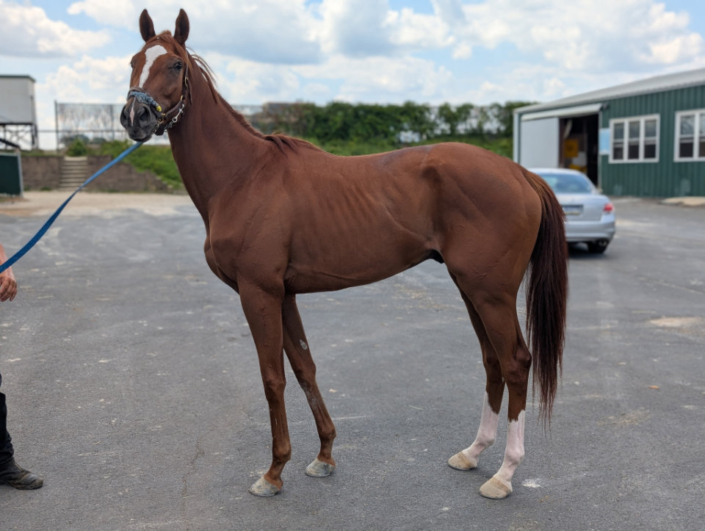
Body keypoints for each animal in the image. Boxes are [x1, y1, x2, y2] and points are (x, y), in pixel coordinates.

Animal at [120, 9, 568, 500]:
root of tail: (521, 173)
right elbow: (304, 369)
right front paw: (323, 455)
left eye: (175, 65)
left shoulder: (258, 292)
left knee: (515, 363)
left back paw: (504, 474)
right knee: (492, 363)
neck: (242, 176)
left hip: (491, 293)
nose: (135, 116)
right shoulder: (284, 294)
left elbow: (272, 378)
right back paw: (472, 453)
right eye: (134, 61)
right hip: (473, 290)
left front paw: (273, 472)